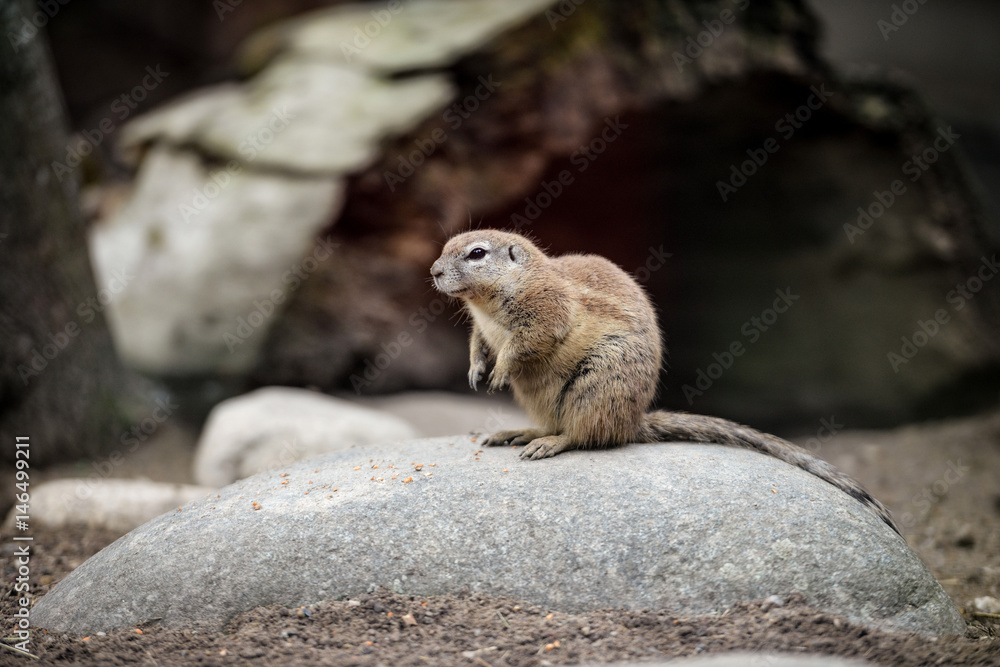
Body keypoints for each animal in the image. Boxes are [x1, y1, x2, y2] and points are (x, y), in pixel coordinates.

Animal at [431, 229, 898, 533]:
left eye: (476, 253)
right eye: (445, 247)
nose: (433, 272)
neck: (489, 302)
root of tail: (635, 421)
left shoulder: (546, 311)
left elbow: (528, 341)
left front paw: (500, 370)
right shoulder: (480, 327)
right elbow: (477, 343)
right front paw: (476, 369)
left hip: (597, 385)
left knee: (583, 435)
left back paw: (548, 443)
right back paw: (517, 432)